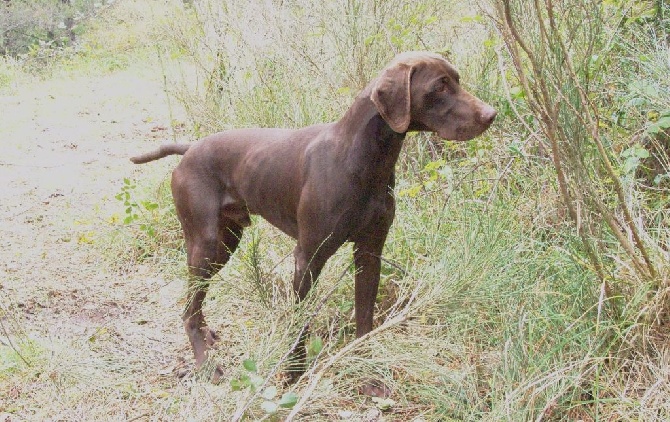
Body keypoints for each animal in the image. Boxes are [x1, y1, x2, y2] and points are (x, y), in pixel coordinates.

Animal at [133, 51, 498, 390]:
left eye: (457, 79)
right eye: (440, 86)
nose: (491, 114)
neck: (361, 159)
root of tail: (190, 149)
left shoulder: (370, 252)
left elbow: (364, 318)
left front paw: (366, 373)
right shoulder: (308, 257)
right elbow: (300, 321)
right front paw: (293, 376)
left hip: (226, 243)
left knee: (196, 305)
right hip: (206, 244)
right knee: (188, 312)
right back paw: (206, 365)